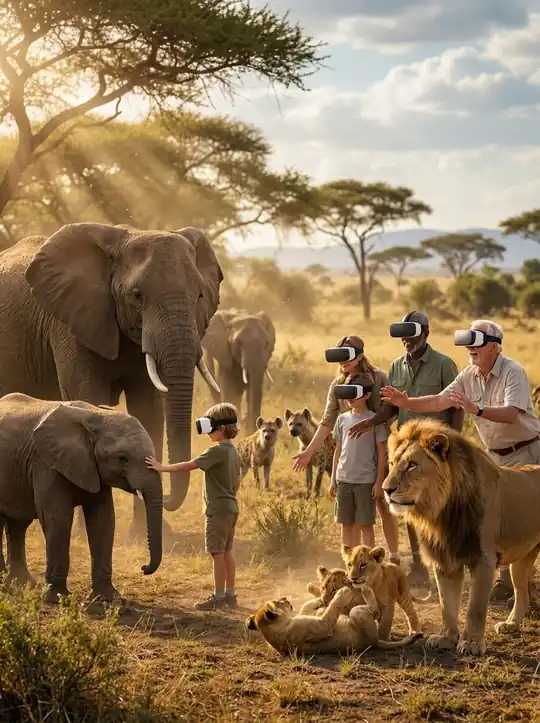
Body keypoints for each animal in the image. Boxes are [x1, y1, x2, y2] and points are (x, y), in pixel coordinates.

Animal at [0, 222, 222, 548]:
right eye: (137, 296)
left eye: (200, 295)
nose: (167, 496)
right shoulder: (70, 324)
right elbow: (87, 397)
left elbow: (148, 410)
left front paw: (142, 533)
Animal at [0, 393, 163, 604]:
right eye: (122, 458)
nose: (144, 568)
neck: (95, 416)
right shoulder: (47, 465)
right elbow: (58, 518)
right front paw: (56, 598)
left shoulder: (93, 468)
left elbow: (103, 519)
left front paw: (108, 598)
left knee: (17, 524)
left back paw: (21, 584)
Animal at [245, 585, 423, 656]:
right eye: (279, 601)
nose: (284, 597)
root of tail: (374, 642)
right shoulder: (321, 626)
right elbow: (332, 609)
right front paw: (342, 591)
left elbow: (307, 606)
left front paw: (320, 600)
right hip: (357, 614)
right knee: (374, 611)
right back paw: (365, 590)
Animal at [383, 417, 540, 657]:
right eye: (391, 463)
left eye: (412, 465)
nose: (386, 490)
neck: (442, 512)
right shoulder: (445, 559)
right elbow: (446, 604)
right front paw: (447, 638)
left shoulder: (484, 559)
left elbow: (475, 607)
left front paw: (472, 643)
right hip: (522, 558)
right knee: (522, 591)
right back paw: (511, 624)